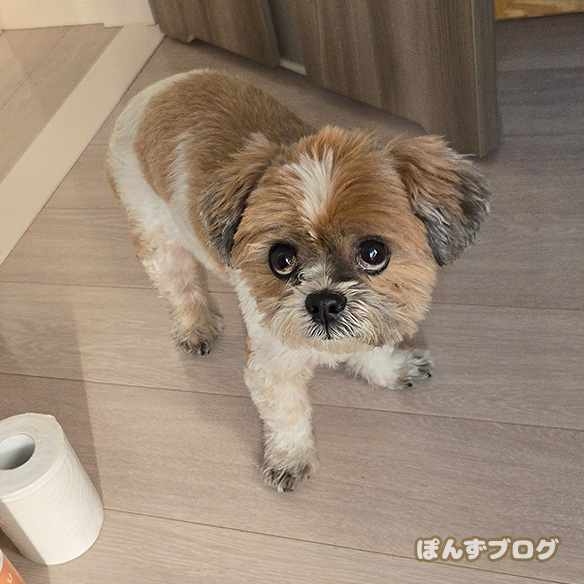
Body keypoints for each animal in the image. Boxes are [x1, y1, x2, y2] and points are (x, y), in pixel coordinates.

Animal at [107, 70, 490, 492]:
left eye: (374, 253)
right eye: (281, 260)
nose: (323, 301)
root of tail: (154, 90)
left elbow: (373, 348)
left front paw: (389, 369)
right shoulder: (273, 362)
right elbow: (286, 413)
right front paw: (289, 457)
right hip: (157, 237)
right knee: (181, 287)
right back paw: (196, 325)